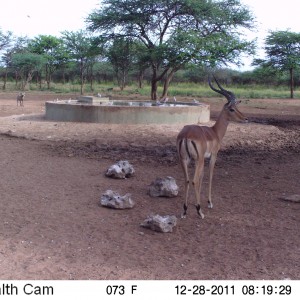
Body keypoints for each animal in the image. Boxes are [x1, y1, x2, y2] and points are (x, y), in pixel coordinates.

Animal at [177, 76, 247, 219]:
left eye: (236, 106)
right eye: (232, 109)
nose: (245, 118)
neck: (214, 132)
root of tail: (186, 135)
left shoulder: (202, 159)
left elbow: (202, 177)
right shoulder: (213, 156)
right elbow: (210, 175)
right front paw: (209, 203)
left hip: (185, 160)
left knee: (187, 180)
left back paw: (185, 210)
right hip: (198, 160)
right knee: (193, 180)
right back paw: (199, 212)